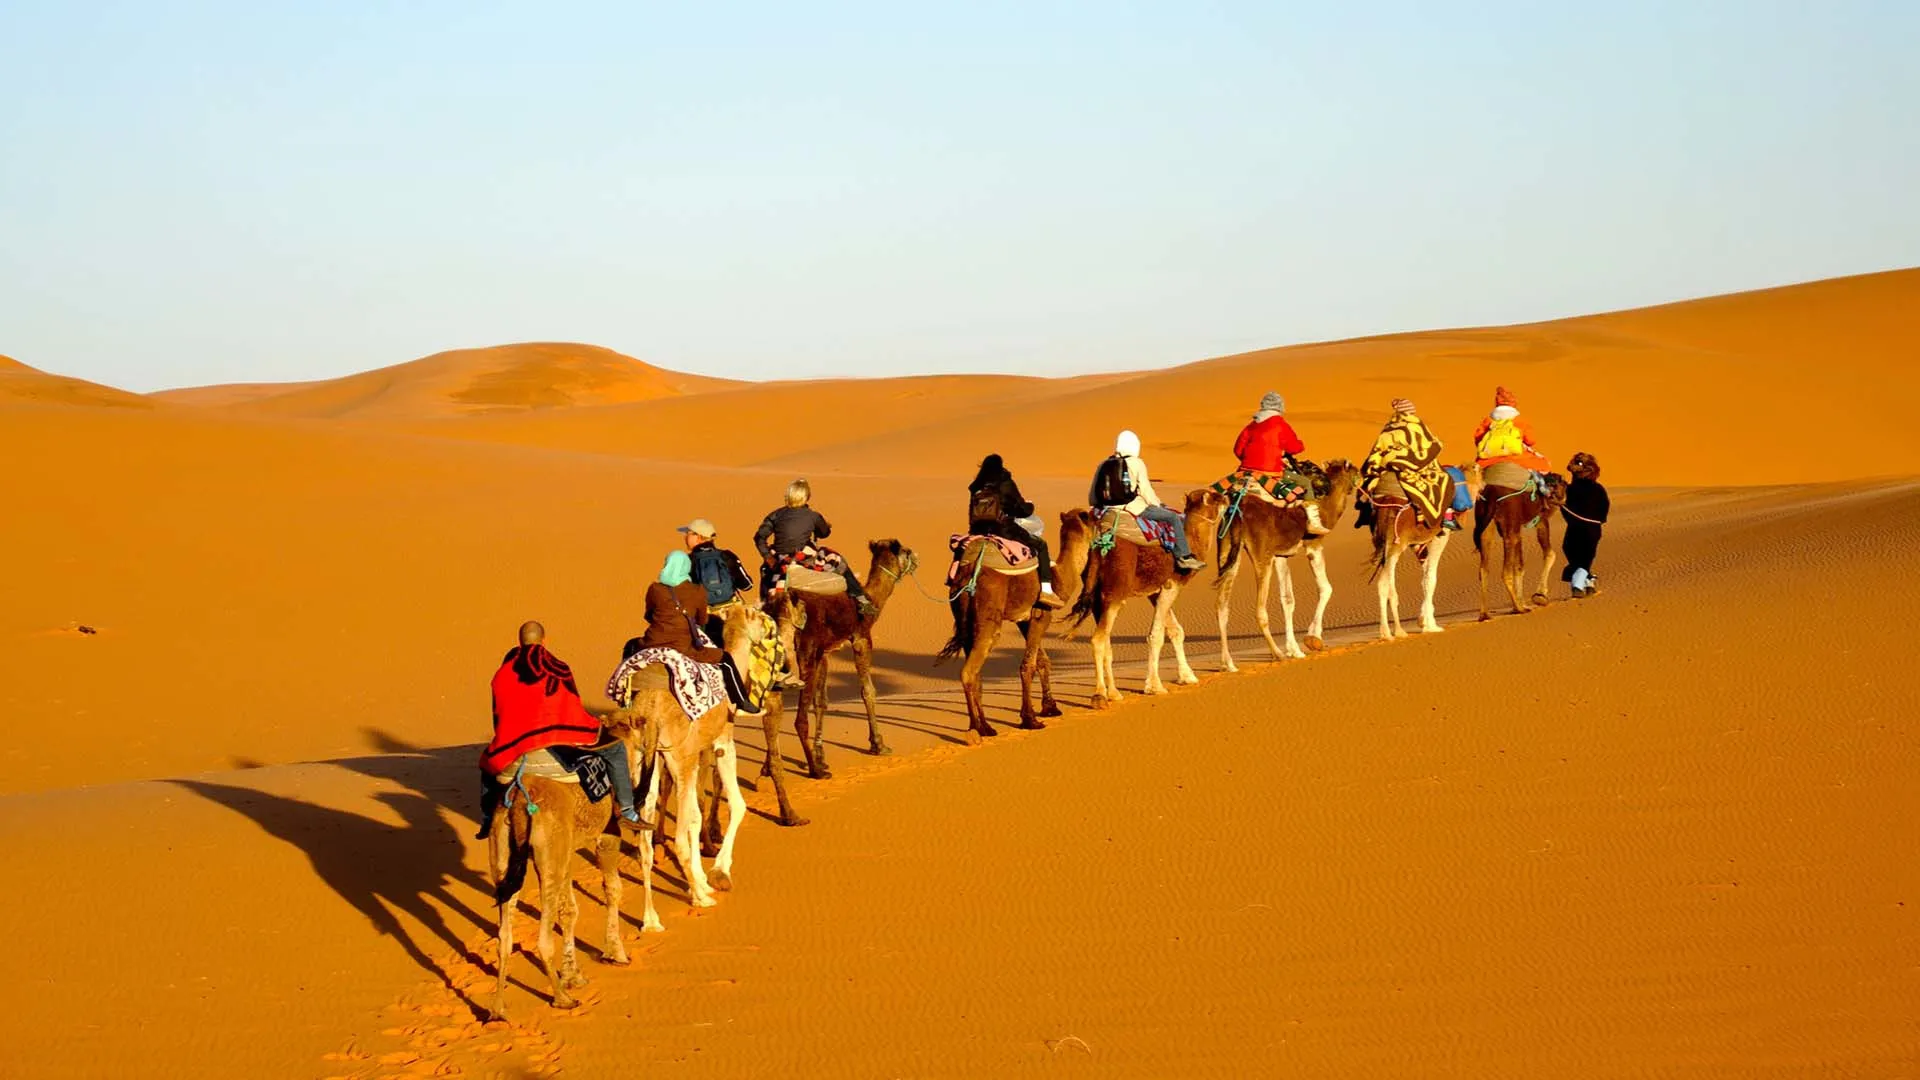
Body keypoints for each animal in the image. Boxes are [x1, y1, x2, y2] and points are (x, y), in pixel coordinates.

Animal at [764, 534, 913, 772]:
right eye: (906, 552)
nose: (916, 557)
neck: (871, 600)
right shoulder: (861, 638)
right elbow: (868, 690)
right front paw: (878, 745)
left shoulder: (824, 652)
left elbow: (821, 702)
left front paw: (821, 754)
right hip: (805, 650)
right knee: (798, 717)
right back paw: (812, 770)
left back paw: (769, 768)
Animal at [933, 511, 1098, 730]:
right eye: (1095, 520)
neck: (1059, 577)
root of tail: (968, 576)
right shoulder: (1041, 615)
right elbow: (1028, 665)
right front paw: (1030, 719)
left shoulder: (1023, 621)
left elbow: (1042, 661)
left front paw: (1051, 708)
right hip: (989, 616)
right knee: (970, 668)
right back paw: (980, 728)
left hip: (964, 618)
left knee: (976, 670)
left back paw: (982, 724)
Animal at [1067, 490, 1213, 707]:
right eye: (1216, 497)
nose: (1228, 497)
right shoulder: (1172, 584)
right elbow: (1157, 635)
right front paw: (1155, 687)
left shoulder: (1154, 591)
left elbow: (1175, 630)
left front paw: (1187, 677)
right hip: (1114, 594)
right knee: (1099, 638)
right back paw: (1100, 695)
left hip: (1097, 597)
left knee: (1106, 639)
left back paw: (1114, 693)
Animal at [1205, 457, 1359, 668]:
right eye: (1356, 471)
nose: (1362, 480)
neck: (1325, 508)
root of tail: (1237, 511)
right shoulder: (1313, 544)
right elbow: (1326, 588)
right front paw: (1313, 640)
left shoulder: (1281, 555)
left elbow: (1288, 599)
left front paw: (1295, 650)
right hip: (1261, 555)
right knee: (1259, 609)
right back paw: (1277, 654)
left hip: (1227, 549)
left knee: (1221, 605)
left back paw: (1228, 663)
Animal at [1474, 461, 1566, 618]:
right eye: (1563, 485)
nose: (1563, 498)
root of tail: (1491, 493)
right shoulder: (1541, 519)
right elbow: (1550, 554)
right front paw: (1539, 596)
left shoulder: (1517, 528)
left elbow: (1519, 567)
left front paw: (1523, 602)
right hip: (1509, 526)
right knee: (1505, 572)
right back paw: (1519, 608)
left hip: (1486, 525)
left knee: (1483, 569)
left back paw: (1484, 614)